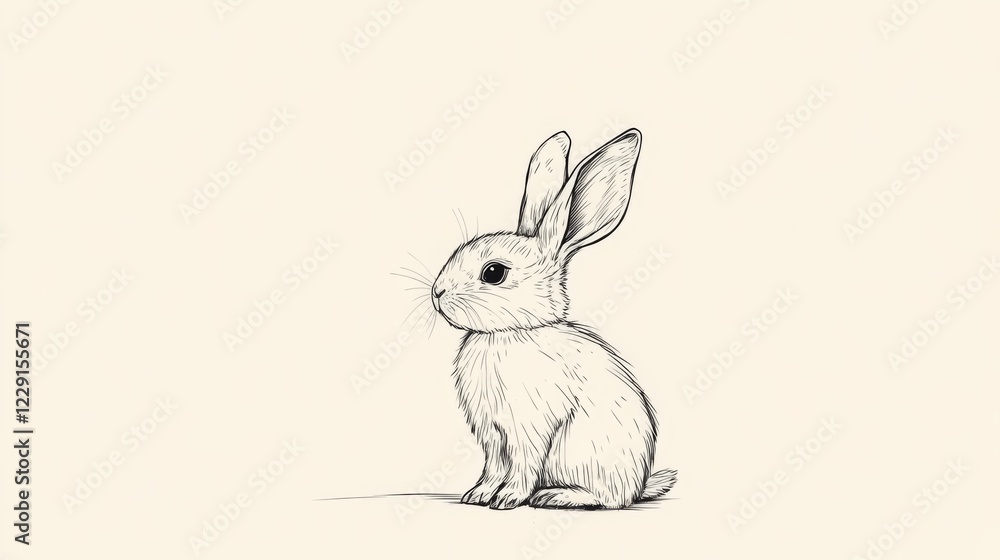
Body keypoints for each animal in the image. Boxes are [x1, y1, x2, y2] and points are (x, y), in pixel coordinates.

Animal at [429, 128, 676, 510]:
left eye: (493, 273)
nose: (436, 293)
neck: (509, 333)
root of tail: (638, 487)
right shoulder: (492, 433)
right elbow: (493, 466)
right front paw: (478, 495)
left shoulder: (529, 428)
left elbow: (522, 465)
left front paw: (507, 499)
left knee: (604, 499)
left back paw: (555, 495)